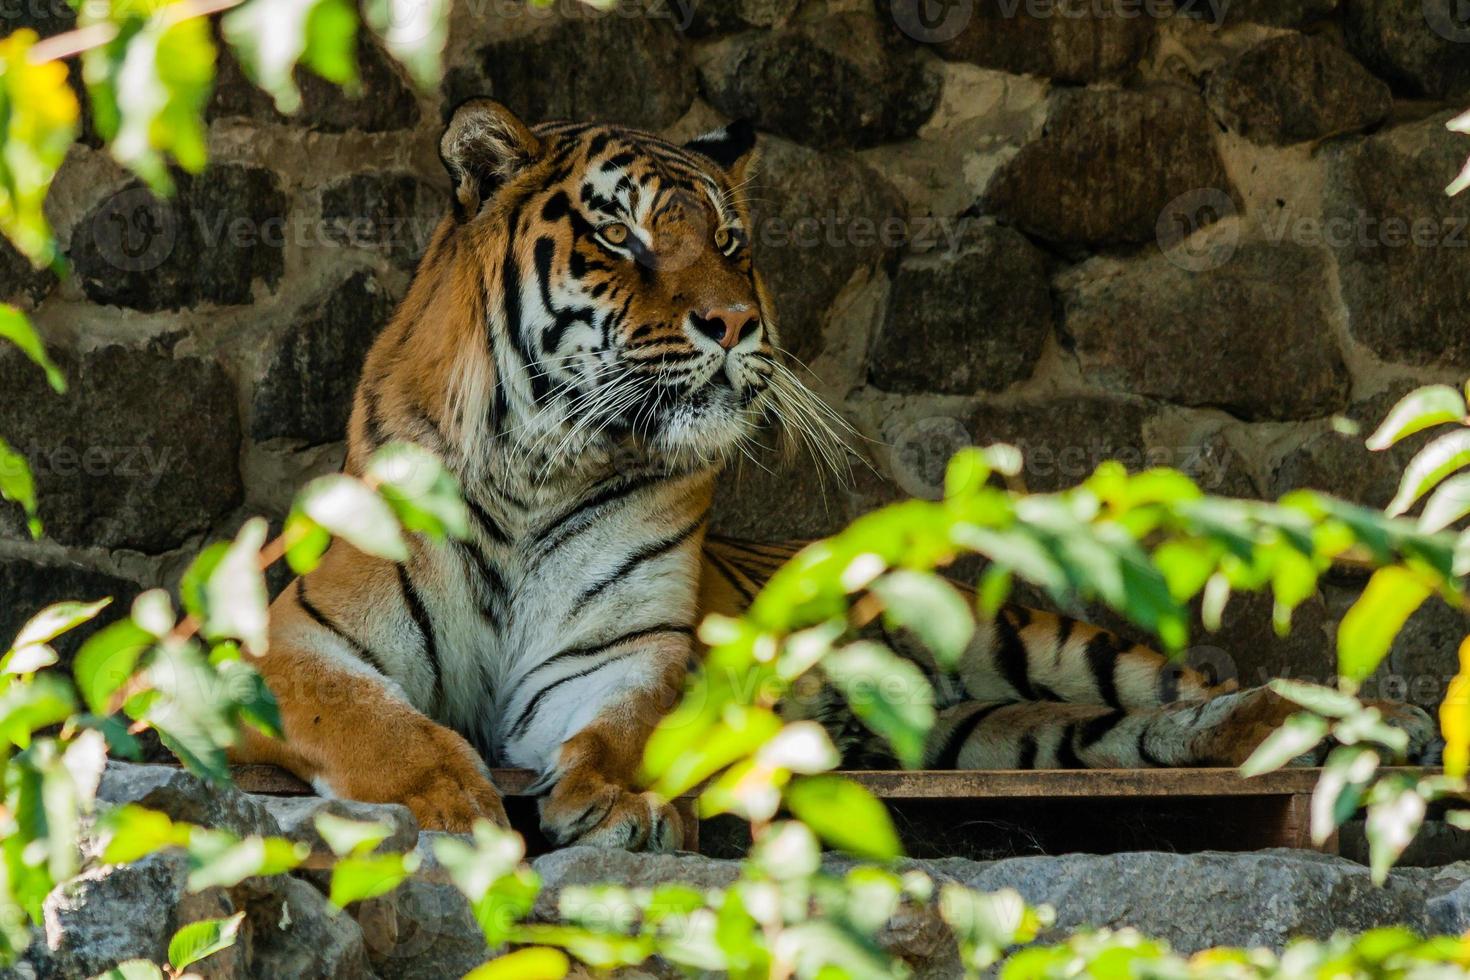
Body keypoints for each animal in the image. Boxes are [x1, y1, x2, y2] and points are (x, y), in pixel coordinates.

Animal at [229, 101, 1434, 852]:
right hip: (993, 729)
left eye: (728, 237)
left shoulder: (628, 652)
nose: (733, 322)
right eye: (619, 235)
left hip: (1019, 633)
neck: (544, 463)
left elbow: (631, 726)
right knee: (1124, 733)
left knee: (1185, 688)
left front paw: (619, 797)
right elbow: (378, 722)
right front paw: (449, 800)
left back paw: (1385, 724)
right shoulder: (292, 646)